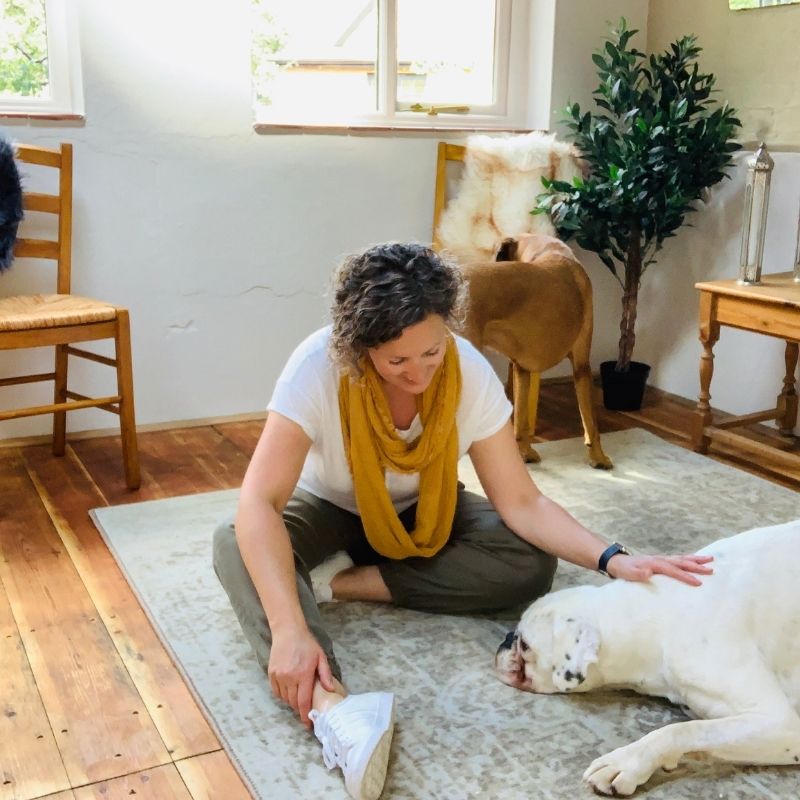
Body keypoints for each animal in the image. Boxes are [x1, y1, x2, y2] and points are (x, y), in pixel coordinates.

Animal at [460, 233, 608, 468]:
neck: (549, 249)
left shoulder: (521, 370)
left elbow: (520, 421)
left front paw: (525, 454)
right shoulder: (582, 366)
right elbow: (591, 424)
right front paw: (599, 458)